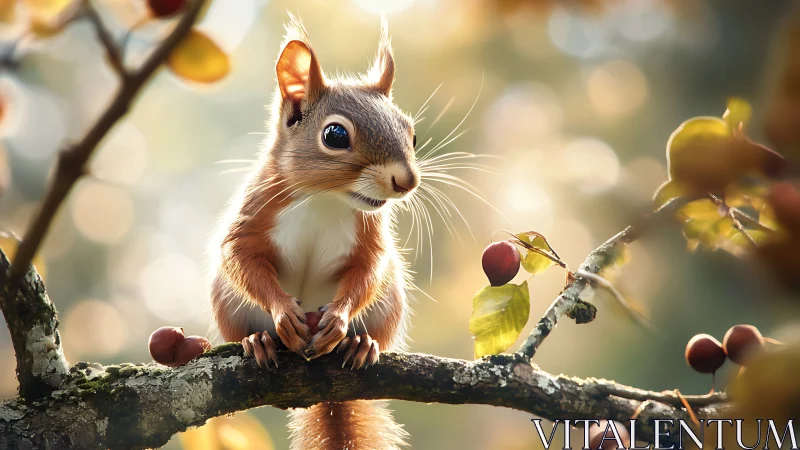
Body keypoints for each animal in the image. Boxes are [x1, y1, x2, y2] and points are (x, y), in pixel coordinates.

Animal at [207, 14, 417, 450]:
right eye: (335, 135)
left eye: (412, 134)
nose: (407, 181)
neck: (327, 199)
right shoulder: (257, 209)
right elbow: (239, 257)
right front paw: (282, 313)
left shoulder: (370, 234)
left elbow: (368, 270)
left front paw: (339, 320)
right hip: (227, 305)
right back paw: (258, 340)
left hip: (390, 305)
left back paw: (359, 343)